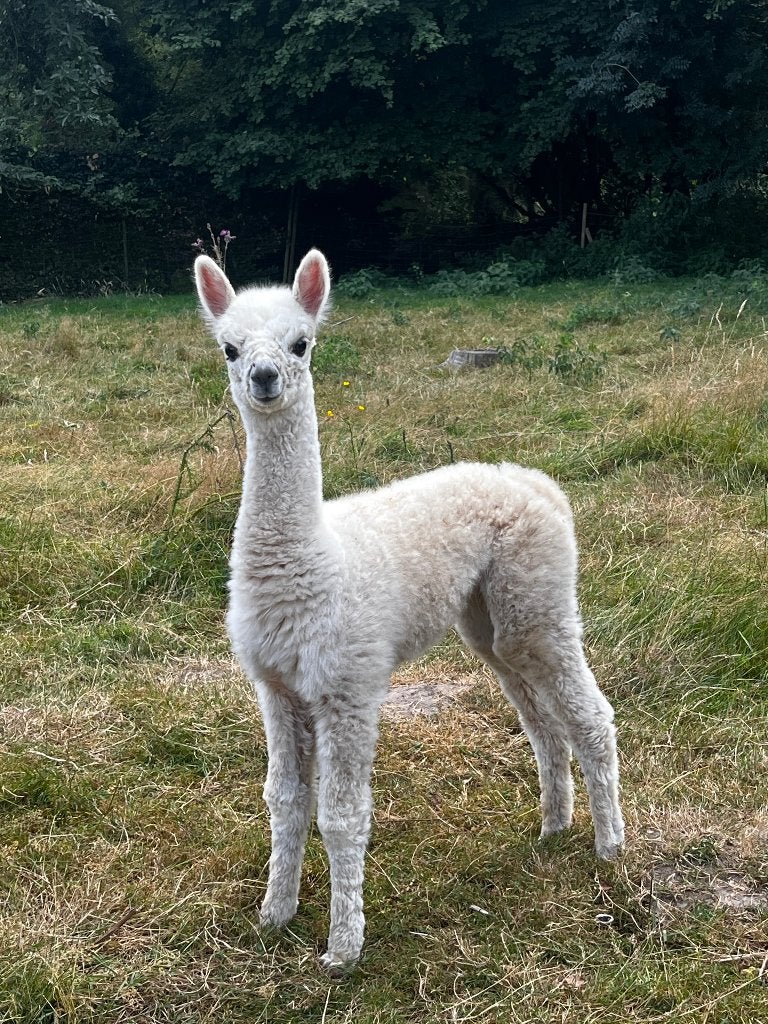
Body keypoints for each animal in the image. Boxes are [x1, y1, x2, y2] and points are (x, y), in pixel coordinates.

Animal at [193, 249, 624, 970]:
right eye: (229, 348)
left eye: (300, 343)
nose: (263, 379)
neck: (316, 563)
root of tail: (535, 482)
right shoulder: (277, 686)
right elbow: (284, 801)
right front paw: (274, 915)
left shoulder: (348, 686)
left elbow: (341, 815)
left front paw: (343, 948)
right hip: (491, 622)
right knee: (541, 720)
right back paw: (553, 826)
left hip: (541, 599)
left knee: (590, 715)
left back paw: (611, 847)